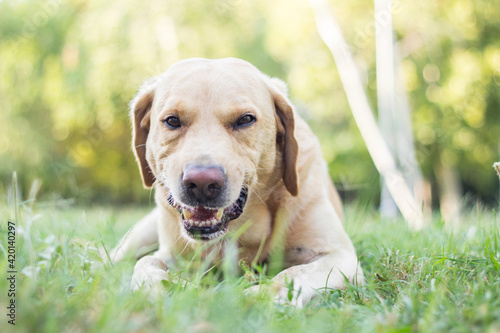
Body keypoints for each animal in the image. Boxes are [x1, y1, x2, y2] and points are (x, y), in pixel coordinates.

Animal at [111, 57, 364, 306]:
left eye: (245, 119)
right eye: (172, 120)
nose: (201, 183)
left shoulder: (339, 256)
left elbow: (290, 274)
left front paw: (260, 296)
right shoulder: (170, 254)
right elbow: (146, 264)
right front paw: (160, 287)